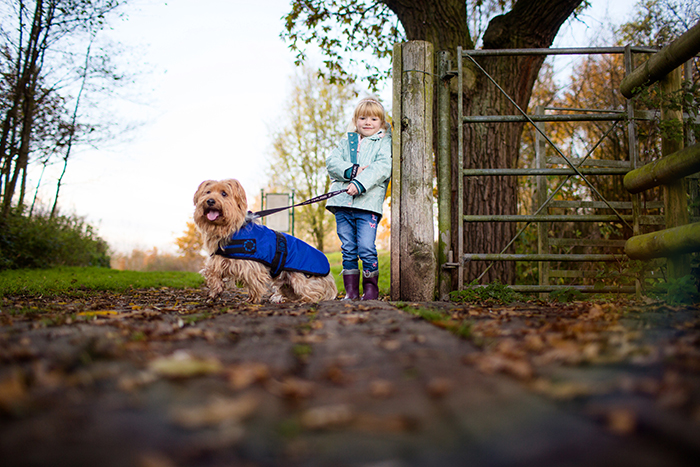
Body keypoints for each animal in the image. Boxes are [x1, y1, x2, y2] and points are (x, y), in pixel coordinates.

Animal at [193, 179, 338, 304]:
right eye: (208, 192)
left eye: (224, 193)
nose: (210, 201)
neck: (229, 228)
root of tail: (329, 277)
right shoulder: (221, 258)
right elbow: (212, 271)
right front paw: (215, 291)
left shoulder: (250, 266)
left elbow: (253, 282)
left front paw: (252, 299)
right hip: (286, 284)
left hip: (300, 279)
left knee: (314, 292)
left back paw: (303, 300)